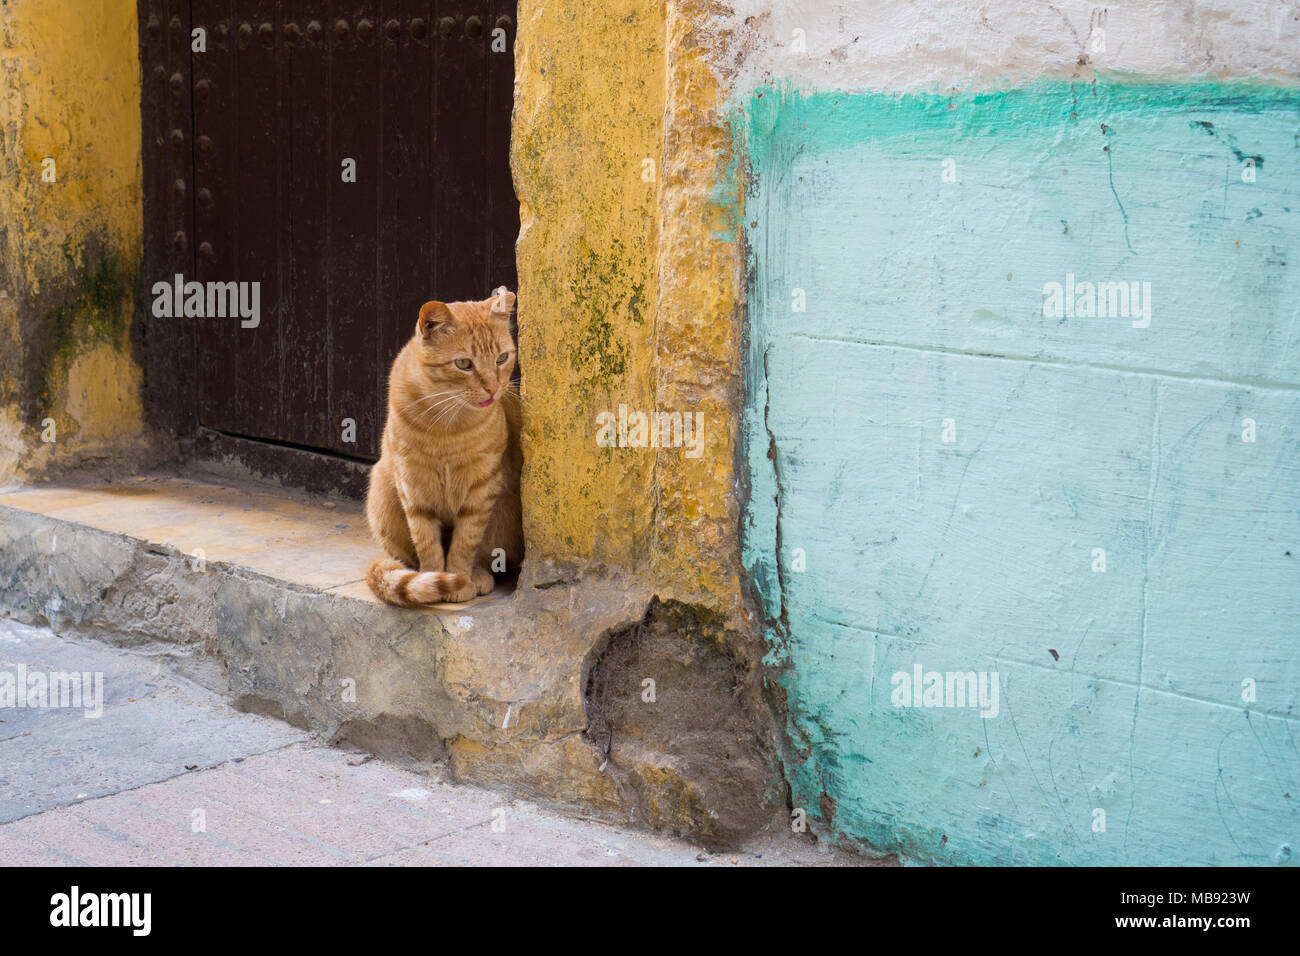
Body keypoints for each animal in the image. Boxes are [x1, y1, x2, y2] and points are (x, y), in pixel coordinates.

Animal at [366, 283, 522, 606]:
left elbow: (465, 542)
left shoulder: (482, 487)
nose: (492, 388)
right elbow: (426, 542)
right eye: (463, 364)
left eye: (502, 358)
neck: (446, 425)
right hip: (382, 494)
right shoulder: (412, 486)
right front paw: (434, 577)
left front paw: (459, 579)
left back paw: (477, 575)